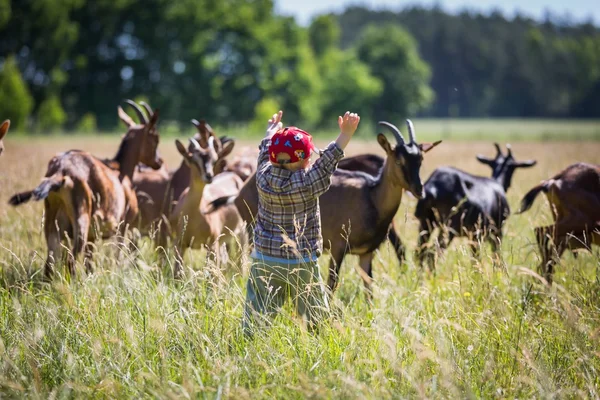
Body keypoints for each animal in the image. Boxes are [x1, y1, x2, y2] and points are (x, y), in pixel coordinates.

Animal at [8, 104, 163, 278]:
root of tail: (60, 169)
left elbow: (89, 262)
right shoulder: (124, 225)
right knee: (70, 260)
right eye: (155, 137)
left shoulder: (92, 234)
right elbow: (117, 256)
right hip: (81, 217)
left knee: (50, 263)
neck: (121, 170)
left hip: (52, 219)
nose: (159, 162)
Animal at [234, 120, 440, 298]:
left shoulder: (367, 253)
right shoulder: (337, 247)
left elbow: (369, 287)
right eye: (398, 161)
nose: (419, 190)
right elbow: (332, 285)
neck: (371, 197)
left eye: (420, 159)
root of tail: (244, 189)